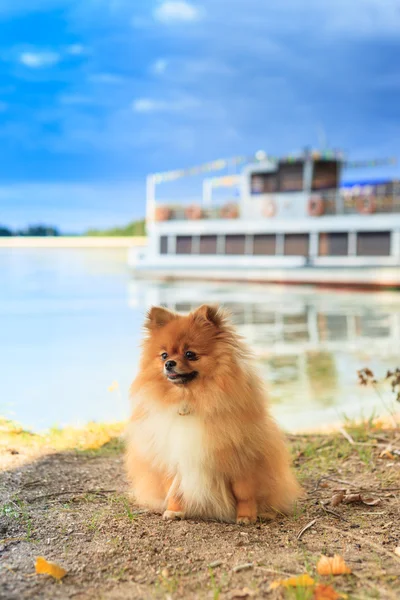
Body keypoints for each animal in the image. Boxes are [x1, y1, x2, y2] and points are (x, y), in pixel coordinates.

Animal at [125, 302, 300, 524]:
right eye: (164, 355)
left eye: (190, 354)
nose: (169, 363)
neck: (189, 401)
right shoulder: (169, 456)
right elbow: (174, 488)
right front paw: (174, 511)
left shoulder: (241, 459)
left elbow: (244, 493)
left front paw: (246, 516)